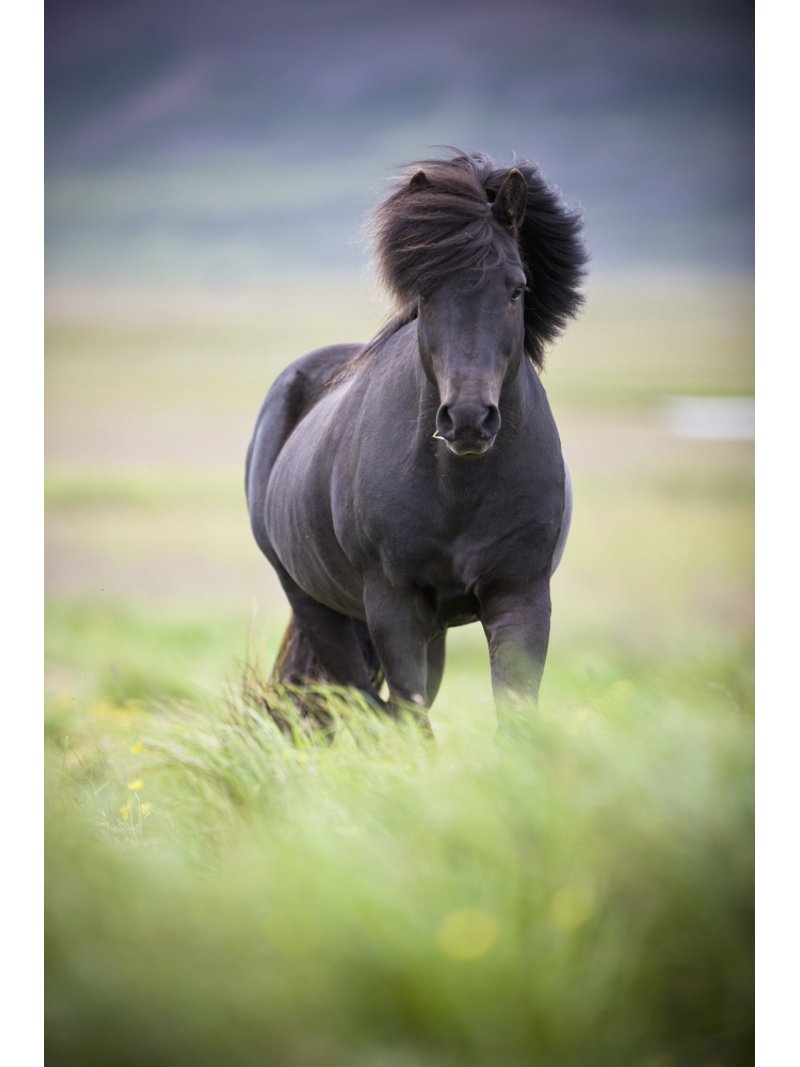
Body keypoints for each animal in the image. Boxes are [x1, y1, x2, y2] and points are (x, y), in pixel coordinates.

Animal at [246, 150, 586, 733]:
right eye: (424, 293)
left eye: (516, 288)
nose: (468, 419)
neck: (459, 490)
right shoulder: (394, 606)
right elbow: (406, 717)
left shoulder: (520, 597)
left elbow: (514, 714)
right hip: (318, 606)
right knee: (362, 701)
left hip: (434, 627)